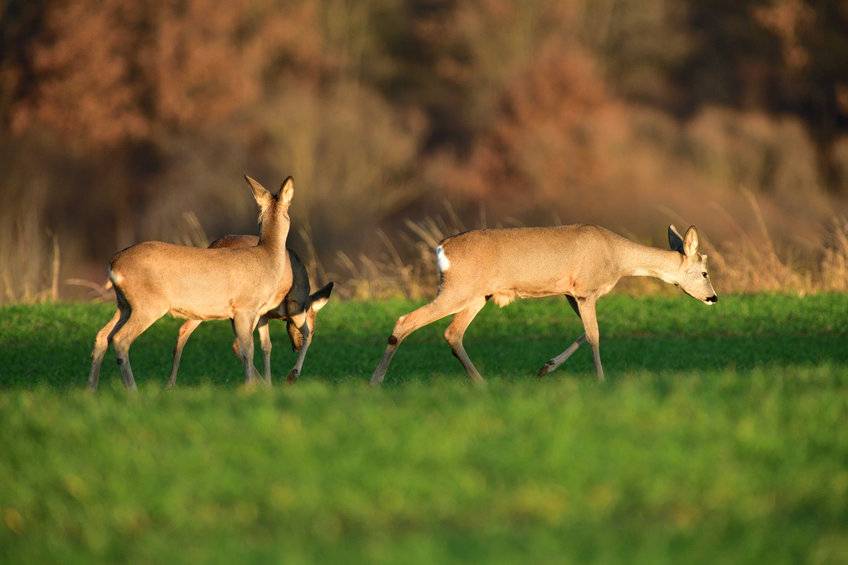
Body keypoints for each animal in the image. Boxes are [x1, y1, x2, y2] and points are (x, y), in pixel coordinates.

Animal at [88, 175, 296, 388]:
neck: (267, 258)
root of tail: (114, 263)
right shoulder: (245, 307)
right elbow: (247, 348)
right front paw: (250, 387)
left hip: (124, 304)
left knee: (102, 335)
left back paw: (91, 389)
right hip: (148, 304)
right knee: (120, 339)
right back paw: (132, 390)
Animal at [166, 235, 334, 388]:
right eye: (313, 329)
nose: (296, 347)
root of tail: (213, 245)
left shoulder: (263, 316)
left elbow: (266, 346)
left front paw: (268, 384)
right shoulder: (280, 308)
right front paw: (286, 378)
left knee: (183, 330)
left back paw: (170, 384)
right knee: (235, 344)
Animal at [370, 223, 716, 386]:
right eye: (705, 272)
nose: (713, 297)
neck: (617, 258)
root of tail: (442, 248)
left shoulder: (571, 293)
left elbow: (584, 333)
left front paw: (545, 368)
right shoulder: (585, 290)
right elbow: (594, 335)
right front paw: (601, 379)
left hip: (476, 296)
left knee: (452, 333)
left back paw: (482, 382)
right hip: (458, 289)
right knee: (406, 321)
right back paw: (375, 381)